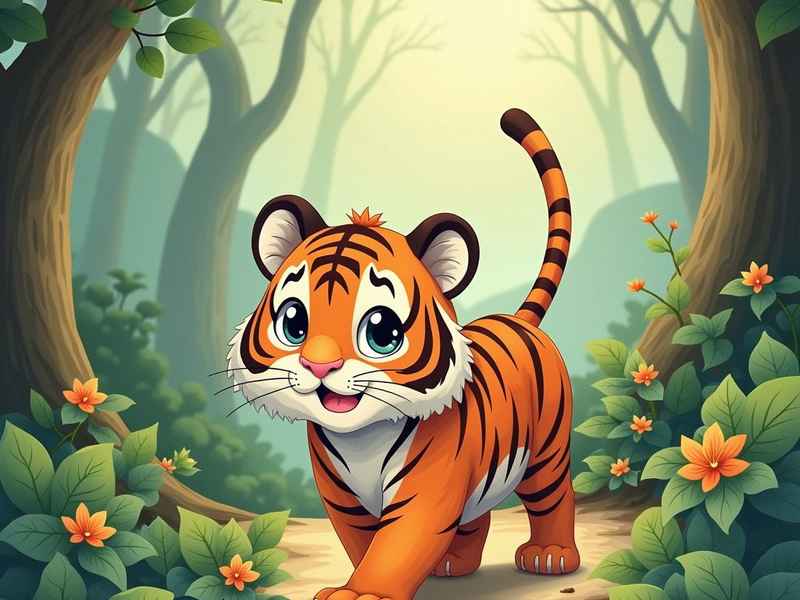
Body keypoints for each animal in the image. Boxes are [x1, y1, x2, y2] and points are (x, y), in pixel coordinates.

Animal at [226, 108, 578, 600]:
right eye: (294, 322)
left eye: (381, 331)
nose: (319, 364)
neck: (359, 439)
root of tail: (518, 319)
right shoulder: (343, 498)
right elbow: (362, 544)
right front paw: (359, 581)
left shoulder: (428, 489)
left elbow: (395, 546)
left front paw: (362, 593)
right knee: (476, 516)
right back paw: (454, 565)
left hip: (546, 451)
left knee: (555, 495)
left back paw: (551, 556)